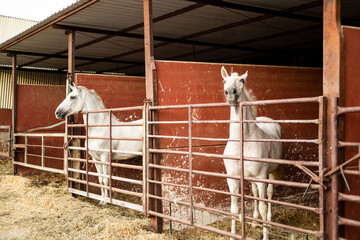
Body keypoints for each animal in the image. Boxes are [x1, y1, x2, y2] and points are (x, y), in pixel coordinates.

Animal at [221, 66, 282, 240]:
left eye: (242, 80)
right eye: (224, 81)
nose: (230, 93)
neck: (242, 142)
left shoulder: (261, 177)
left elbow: (263, 205)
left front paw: (266, 234)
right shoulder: (233, 178)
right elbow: (234, 209)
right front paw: (233, 235)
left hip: (272, 173)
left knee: (269, 195)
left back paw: (269, 221)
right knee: (255, 194)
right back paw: (255, 221)